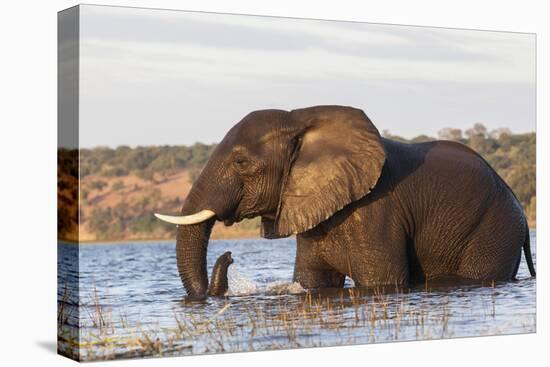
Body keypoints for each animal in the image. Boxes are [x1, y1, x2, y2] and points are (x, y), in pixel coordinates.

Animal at [156, 104, 540, 300]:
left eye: (240, 162)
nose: (230, 255)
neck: (301, 120)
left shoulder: (378, 212)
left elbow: (381, 281)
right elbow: (314, 281)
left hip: (493, 229)